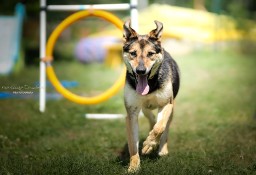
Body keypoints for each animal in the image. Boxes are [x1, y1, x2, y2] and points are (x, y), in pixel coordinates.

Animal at [122, 19, 180, 172]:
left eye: (150, 54)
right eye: (133, 53)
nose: (141, 71)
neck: (151, 84)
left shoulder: (166, 104)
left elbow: (160, 128)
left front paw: (148, 144)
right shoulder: (132, 113)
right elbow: (133, 145)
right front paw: (134, 166)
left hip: (171, 109)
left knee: (164, 127)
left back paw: (161, 149)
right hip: (145, 108)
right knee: (151, 119)